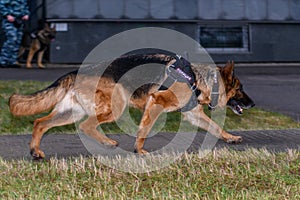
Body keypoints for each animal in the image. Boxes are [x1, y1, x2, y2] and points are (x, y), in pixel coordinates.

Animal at [8, 52, 253, 158]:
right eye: (240, 88)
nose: (252, 103)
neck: (199, 78)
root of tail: (76, 71)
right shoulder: (156, 102)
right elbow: (144, 130)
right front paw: (140, 150)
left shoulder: (193, 114)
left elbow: (216, 127)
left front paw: (231, 137)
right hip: (116, 107)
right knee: (87, 125)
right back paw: (107, 142)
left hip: (71, 113)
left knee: (40, 123)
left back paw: (36, 151)